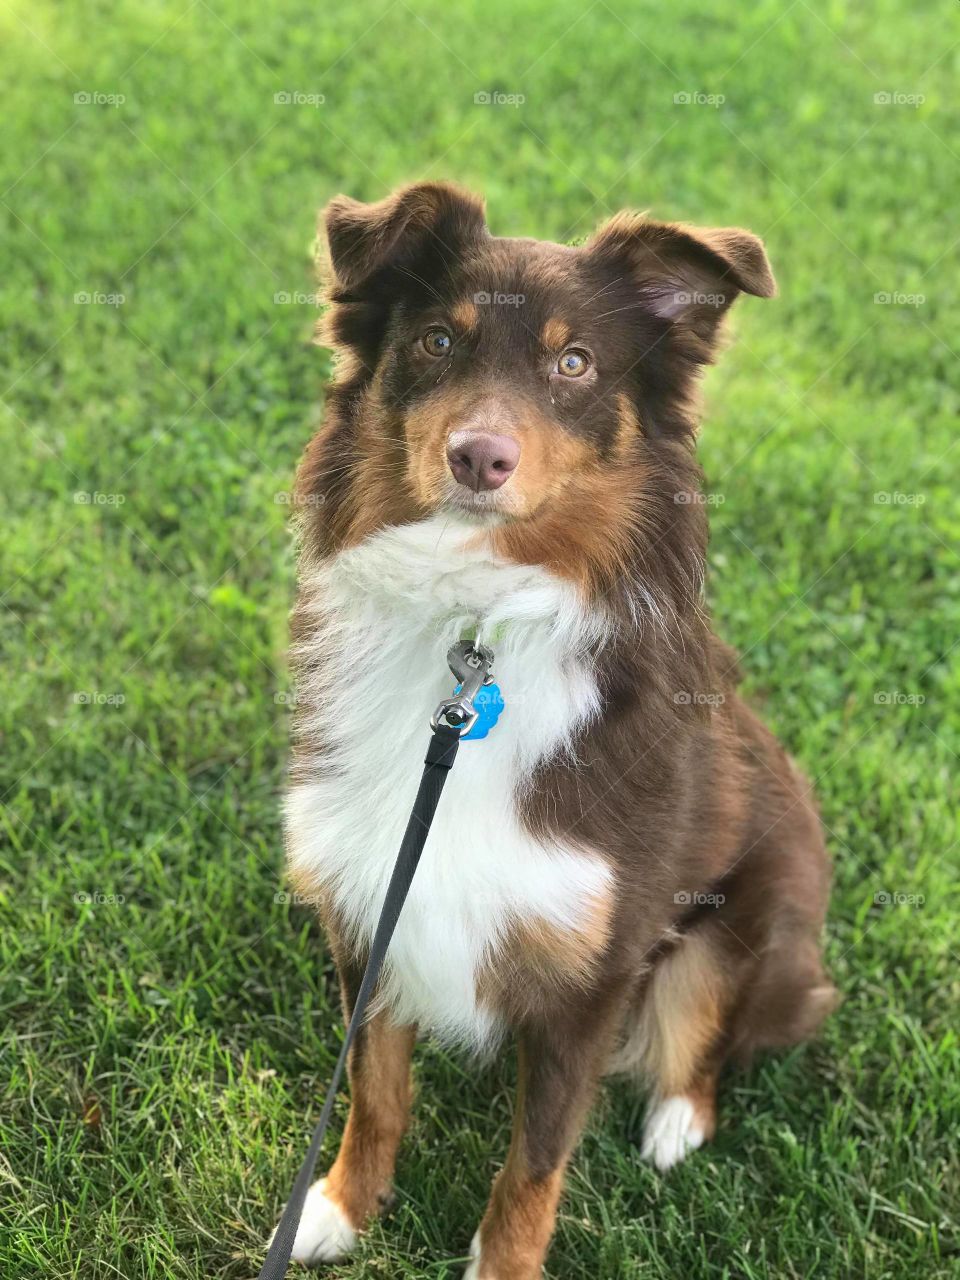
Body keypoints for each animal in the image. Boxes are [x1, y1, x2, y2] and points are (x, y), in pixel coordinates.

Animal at [281, 183, 839, 1280]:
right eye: (438, 340)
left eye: (574, 363)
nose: (479, 457)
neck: (475, 622)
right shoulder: (372, 900)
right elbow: (375, 1086)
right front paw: (340, 1206)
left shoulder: (595, 974)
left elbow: (533, 1163)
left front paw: (499, 1264)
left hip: (750, 921)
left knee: (711, 1039)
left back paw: (676, 1121)